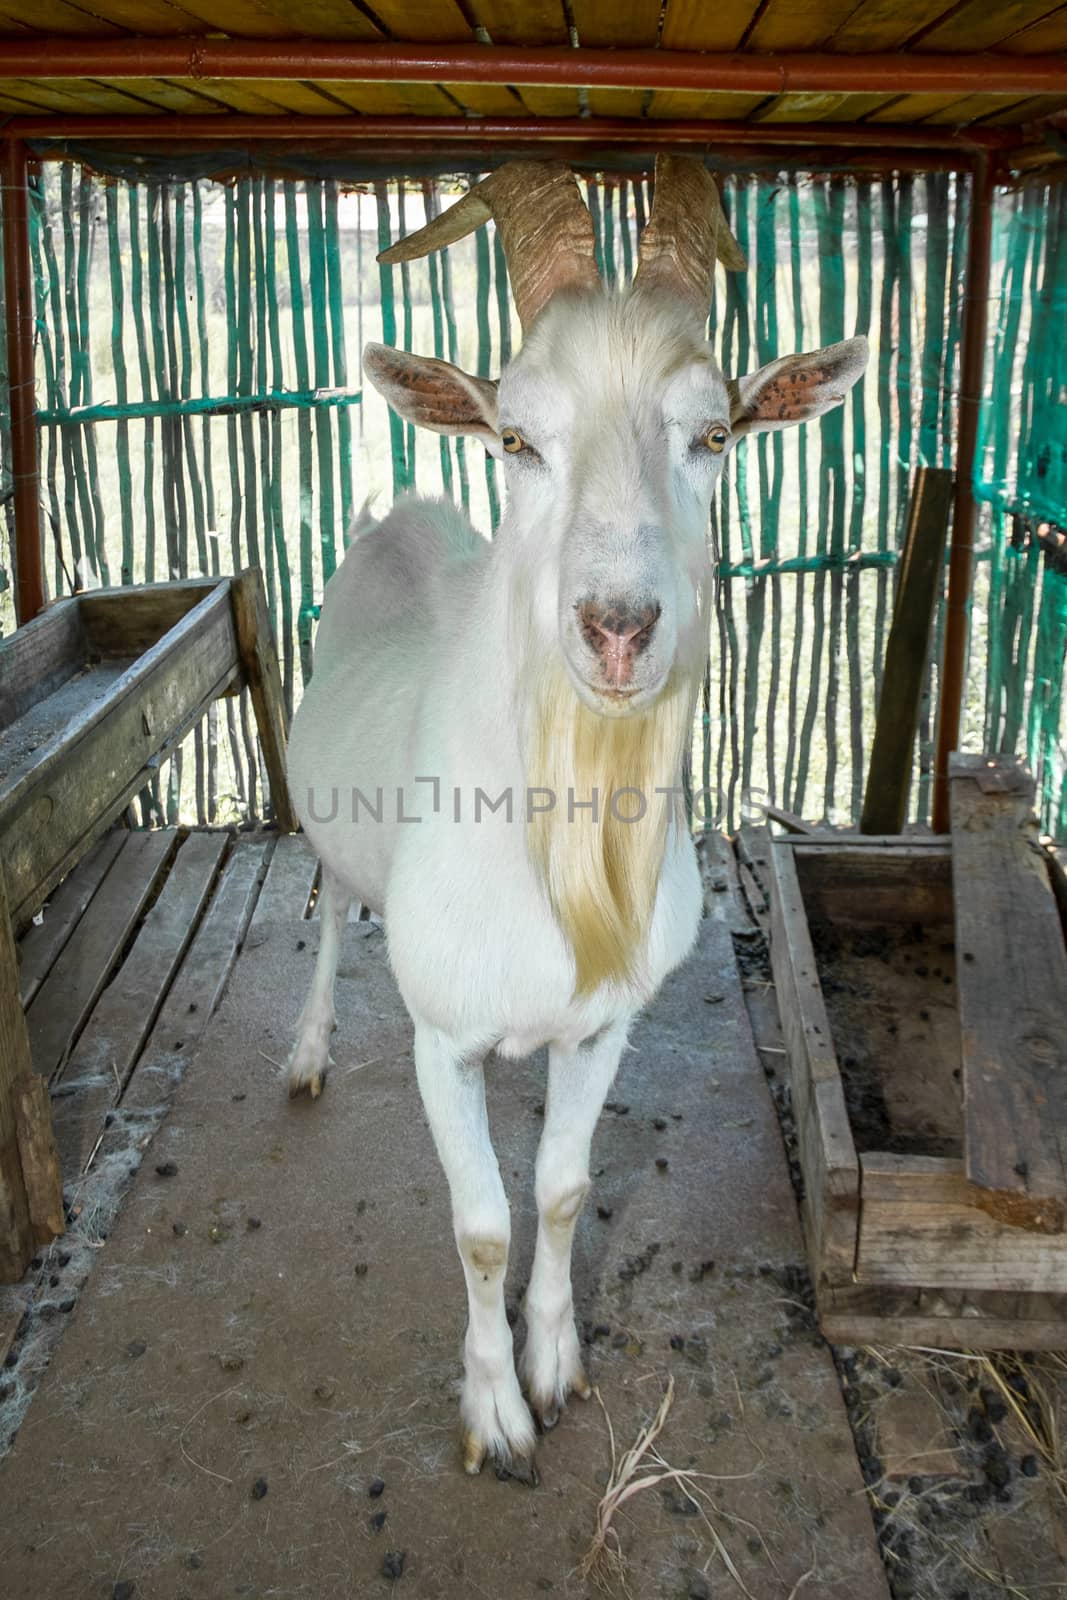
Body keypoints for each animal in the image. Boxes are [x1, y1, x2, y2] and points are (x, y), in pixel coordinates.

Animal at [286, 156, 870, 1478]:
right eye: (515, 436)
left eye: (714, 433)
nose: (617, 627)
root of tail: (400, 509)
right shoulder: (439, 1038)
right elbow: (480, 1222)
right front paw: (496, 1418)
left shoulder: (605, 1024)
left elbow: (554, 1188)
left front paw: (552, 1365)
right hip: (325, 823)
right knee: (332, 908)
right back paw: (303, 1049)